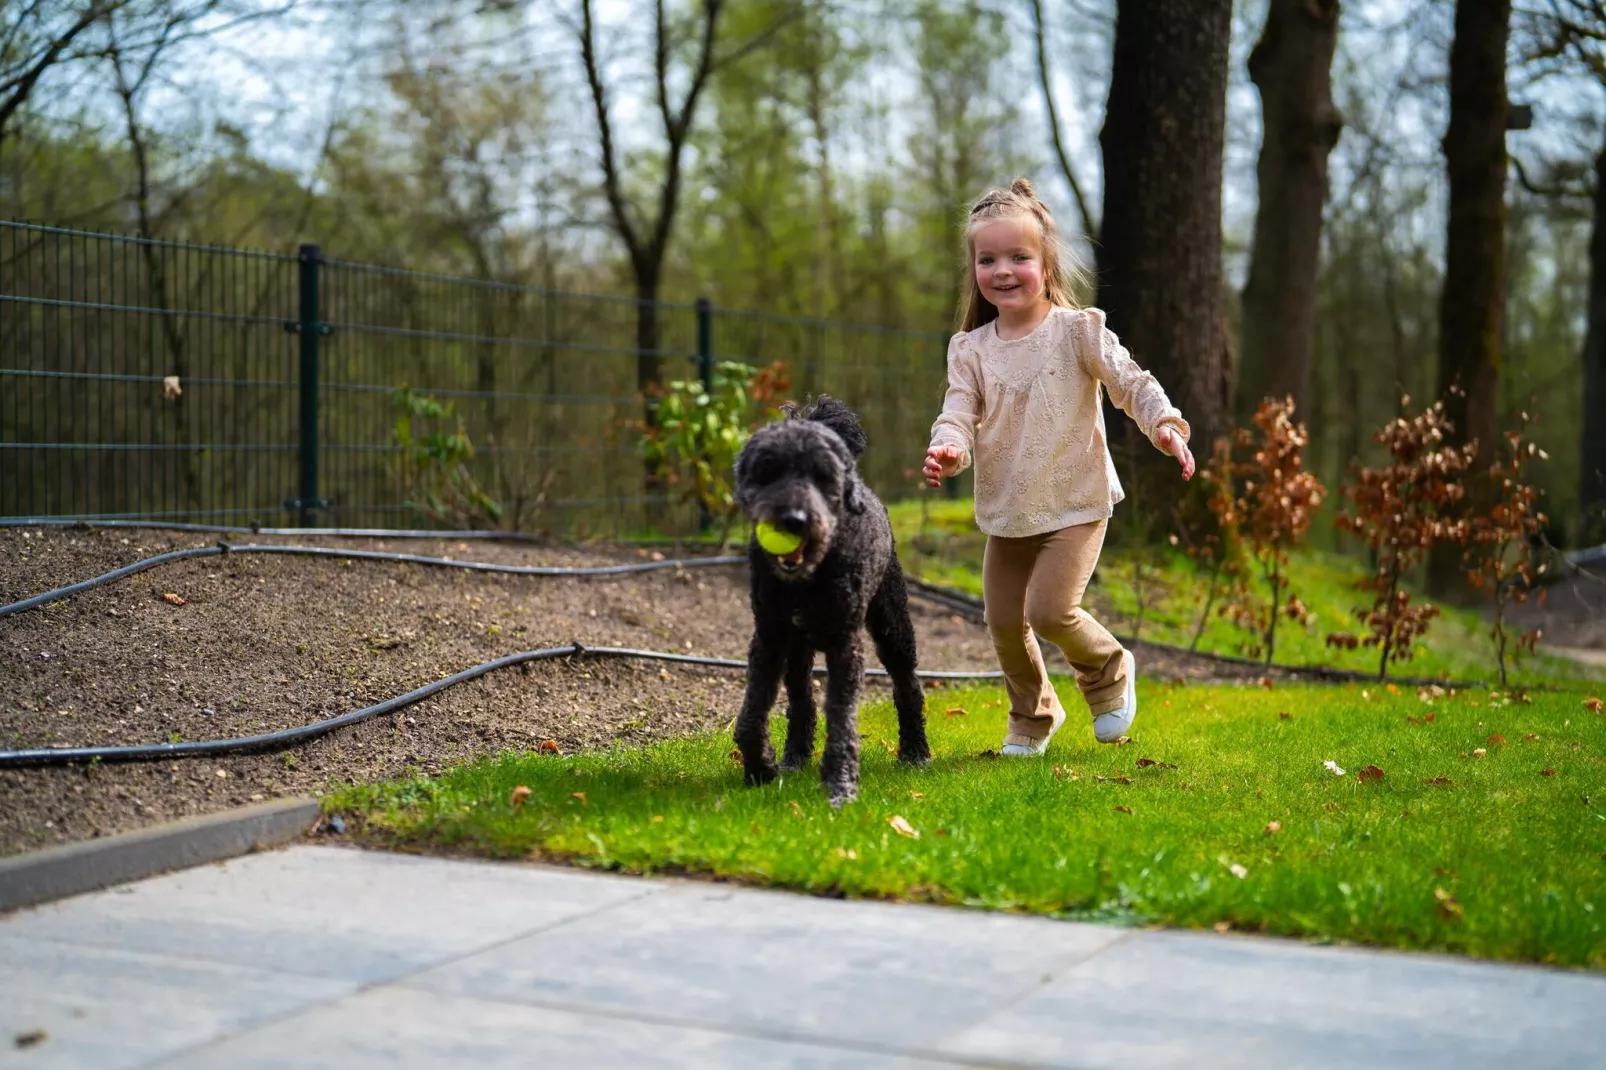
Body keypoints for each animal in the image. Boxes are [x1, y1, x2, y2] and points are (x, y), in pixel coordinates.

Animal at [732, 395, 931, 803]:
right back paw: (795, 756)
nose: (793, 520)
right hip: (797, 650)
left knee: (907, 684)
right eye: (768, 470)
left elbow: (841, 717)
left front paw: (839, 784)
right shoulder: (769, 639)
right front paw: (760, 768)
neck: (809, 576)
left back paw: (915, 751)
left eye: (822, 476)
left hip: (892, 624)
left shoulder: (844, 645)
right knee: (801, 700)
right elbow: (751, 712)